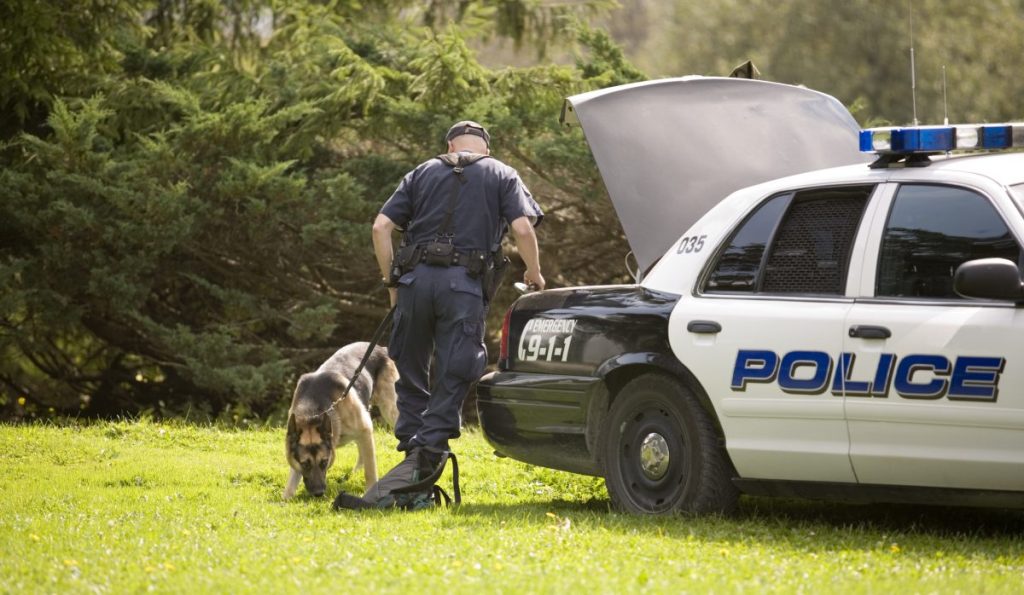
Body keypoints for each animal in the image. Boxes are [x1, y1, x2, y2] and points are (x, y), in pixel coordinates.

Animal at [288, 342, 403, 499]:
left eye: (324, 462)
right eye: (305, 464)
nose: (318, 493)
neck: (312, 412)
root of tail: (381, 348)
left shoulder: (364, 429)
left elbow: (370, 470)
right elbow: (291, 481)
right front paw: (286, 498)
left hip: (389, 409)